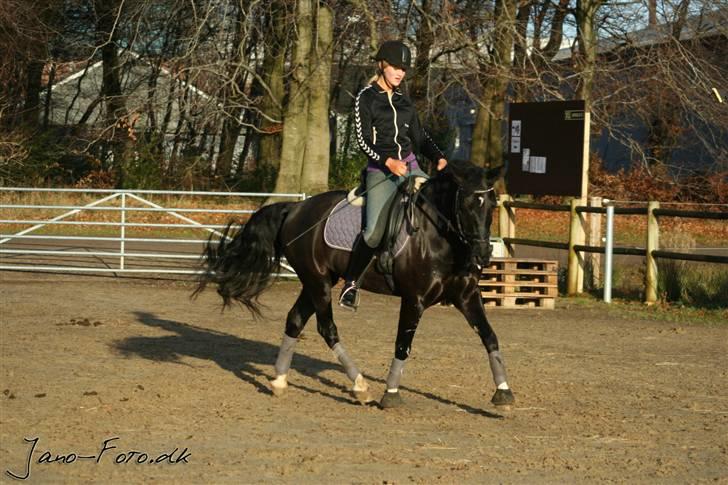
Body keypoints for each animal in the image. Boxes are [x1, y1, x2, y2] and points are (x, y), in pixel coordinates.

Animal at [194, 160, 515, 409]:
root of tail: (296, 207)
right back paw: (360, 386)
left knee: (295, 320)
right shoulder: (414, 299)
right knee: (327, 328)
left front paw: (503, 392)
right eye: (467, 204)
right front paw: (391, 394)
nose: (483, 254)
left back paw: (280, 381)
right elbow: (403, 345)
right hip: (319, 283)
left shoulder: (466, 296)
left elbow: (490, 337)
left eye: (492, 205)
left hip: (317, 281)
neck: (436, 235)